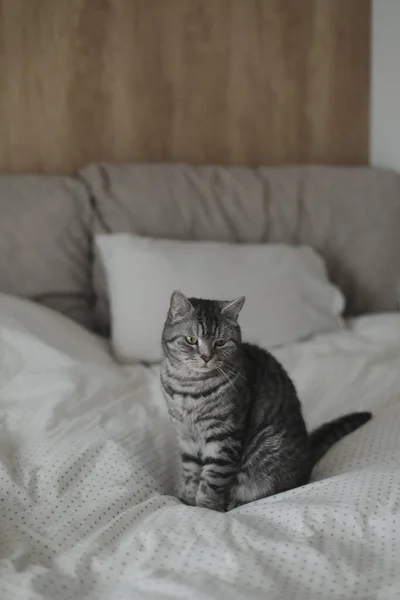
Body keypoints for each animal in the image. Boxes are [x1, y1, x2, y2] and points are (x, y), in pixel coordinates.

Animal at [160, 290, 372, 510]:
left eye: (220, 342)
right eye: (191, 340)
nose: (206, 357)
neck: (189, 387)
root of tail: (307, 457)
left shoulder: (224, 438)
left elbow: (211, 481)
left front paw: (204, 508)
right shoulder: (185, 436)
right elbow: (191, 473)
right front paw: (187, 501)